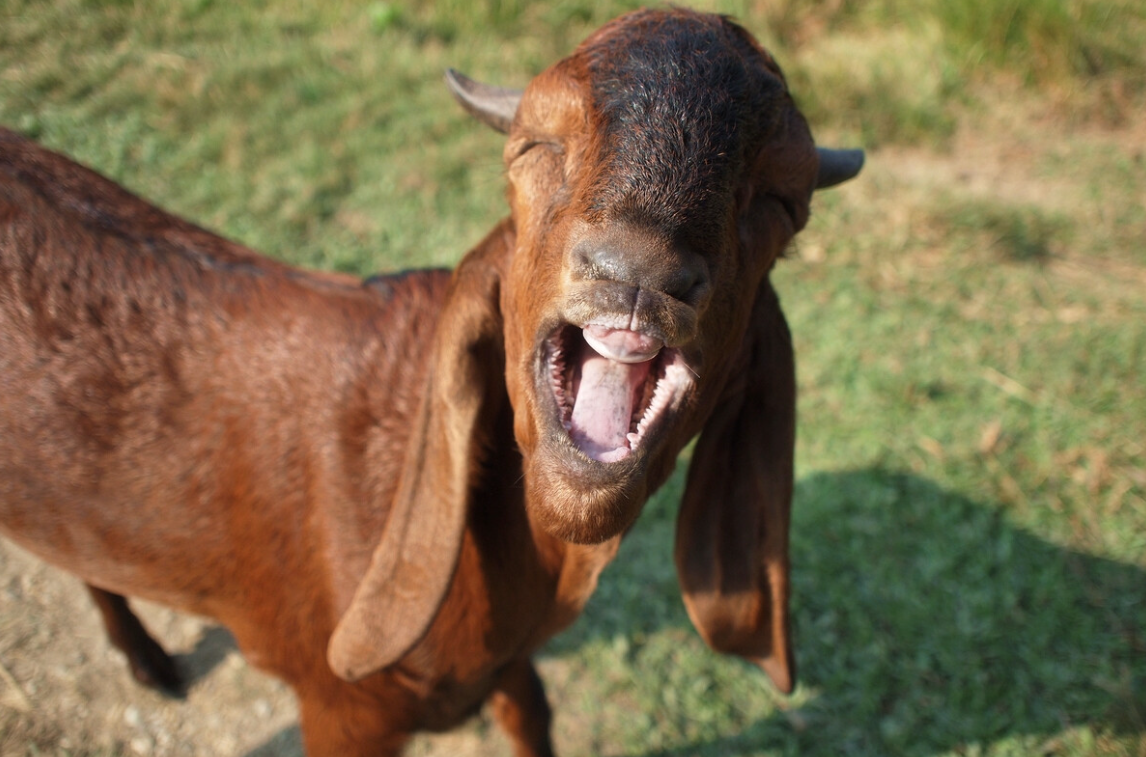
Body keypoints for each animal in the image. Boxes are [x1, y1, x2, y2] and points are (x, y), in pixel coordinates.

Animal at [0, 7, 861, 755]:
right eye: (533, 146)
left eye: (781, 200)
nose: (636, 274)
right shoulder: (342, 705)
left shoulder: (504, 666)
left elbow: (534, 714)